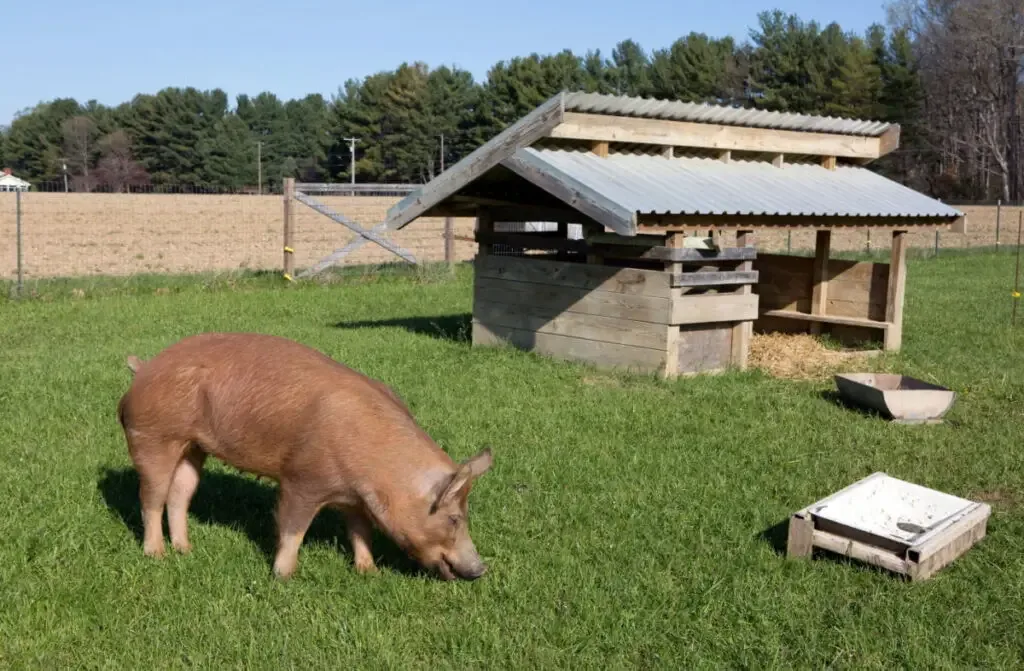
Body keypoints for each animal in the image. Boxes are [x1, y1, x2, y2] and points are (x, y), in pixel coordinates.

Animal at [116, 333, 491, 581]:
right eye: (454, 518)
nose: (480, 569)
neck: (379, 469)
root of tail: (144, 368)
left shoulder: (355, 499)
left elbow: (360, 531)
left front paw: (369, 572)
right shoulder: (302, 479)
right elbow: (293, 528)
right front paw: (284, 577)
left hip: (192, 448)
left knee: (180, 494)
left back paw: (185, 550)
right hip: (151, 438)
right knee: (150, 497)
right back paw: (157, 555)